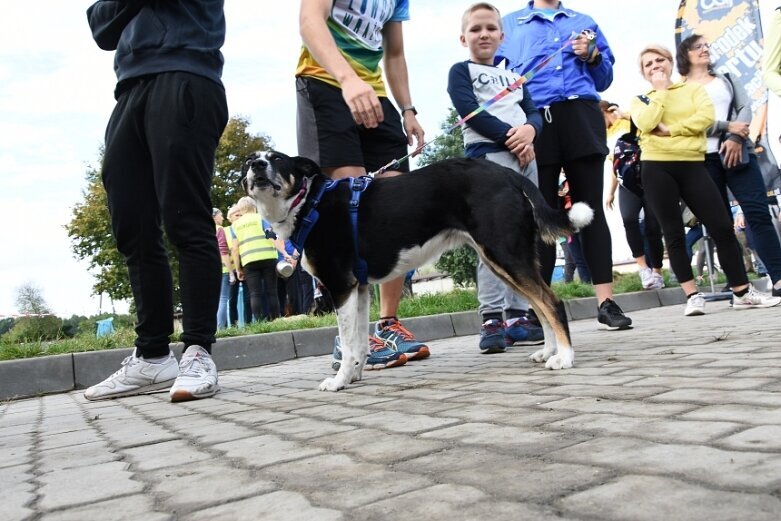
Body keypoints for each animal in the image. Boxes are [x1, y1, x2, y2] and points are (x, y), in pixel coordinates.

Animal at [244, 150, 592, 390]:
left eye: (277, 159)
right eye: (250, 160)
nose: (256, 165)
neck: (309, 203)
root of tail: (507, 174)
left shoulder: (340, 286)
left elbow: (348, 341)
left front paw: (340, 380)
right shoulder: (360, 288)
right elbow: (359, 343)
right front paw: (355, 374)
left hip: (505, 253)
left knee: (551, 303)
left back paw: (565, 357)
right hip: (502, 260)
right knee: (539, 304)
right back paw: (549, 352)